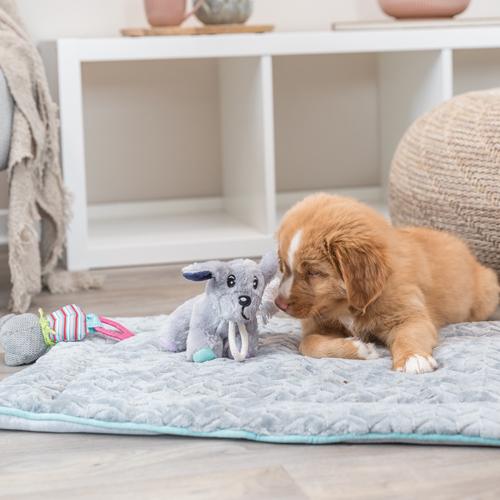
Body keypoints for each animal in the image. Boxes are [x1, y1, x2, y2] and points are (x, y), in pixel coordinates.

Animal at [275, 193, 499, 373]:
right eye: (283, 267)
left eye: (313, 272)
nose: (279, 304)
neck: (347, 303)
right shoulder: (317, 324)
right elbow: (309, 344)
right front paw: (361, 349)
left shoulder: (409, 315)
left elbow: (409, 335)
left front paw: (413, 358)